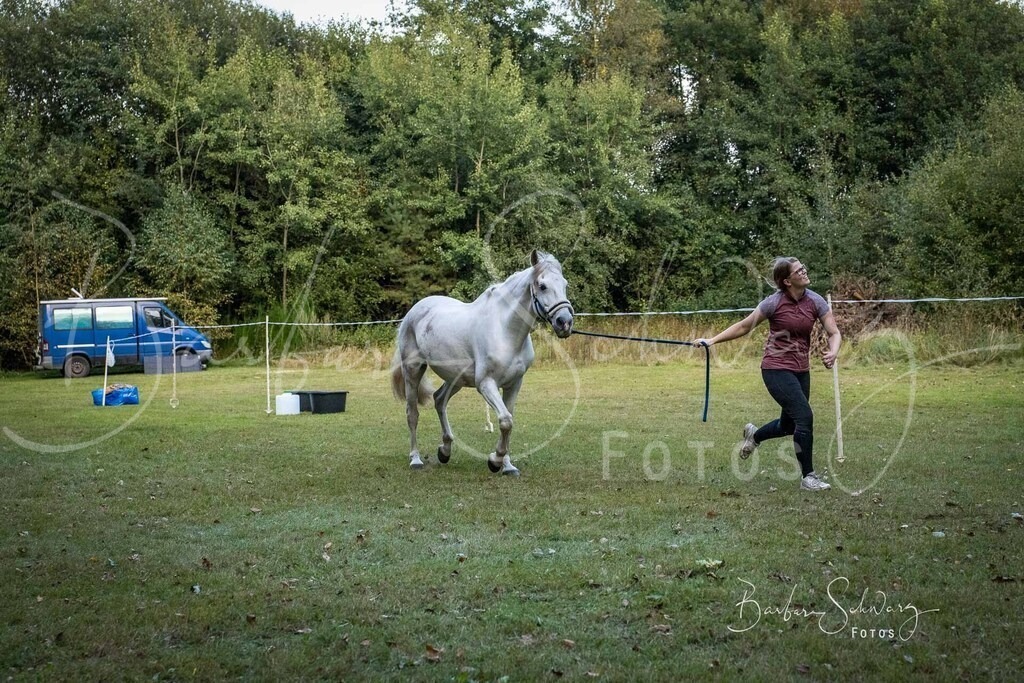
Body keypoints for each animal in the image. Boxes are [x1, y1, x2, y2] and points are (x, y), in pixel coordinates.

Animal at [390, 250, 574, 475]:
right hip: (413, 370)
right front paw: (495, 461)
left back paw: (445, 450)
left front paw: (507, 466)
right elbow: (505, 421)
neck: (505, 330)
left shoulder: (514, 384)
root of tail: (413, 312)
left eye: (565, 284)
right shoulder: (486, 384)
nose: (564, 322)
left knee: (439, 400)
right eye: (542, 286)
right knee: (412, 413)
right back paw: (415, 459)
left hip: (456, 379)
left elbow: (509, 420)